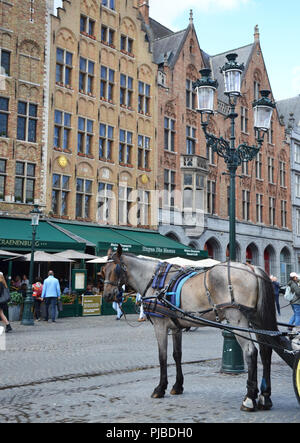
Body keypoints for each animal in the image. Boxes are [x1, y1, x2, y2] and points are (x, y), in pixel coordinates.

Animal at [102, 245, 294, 412]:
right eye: (103, 270)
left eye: (116, 269)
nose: (107, 295)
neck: (155, 282)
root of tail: (251, 268)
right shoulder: (176, 327)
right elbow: (177, 355)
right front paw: (177, 386)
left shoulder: (160, 326)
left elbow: (162, 357)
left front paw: (160, 388)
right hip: (257, 320)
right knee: (266, 351)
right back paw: (265, 397)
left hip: (237, 319)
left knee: (250, 352)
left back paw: (249, 399)